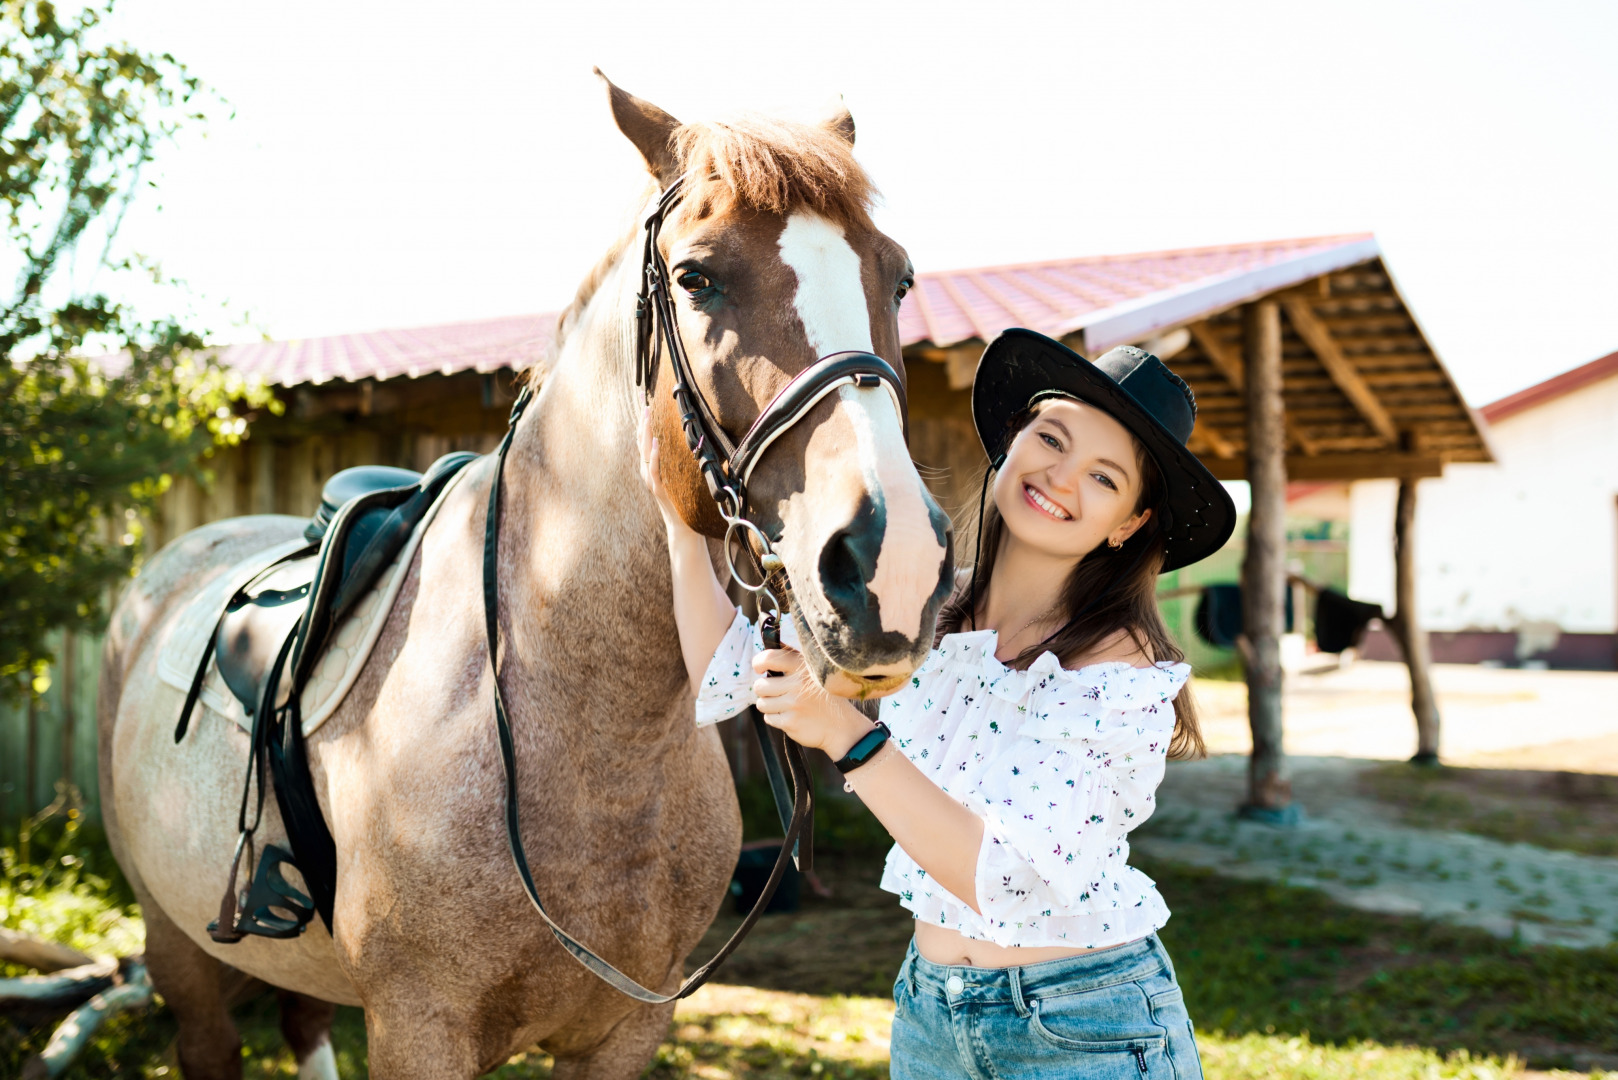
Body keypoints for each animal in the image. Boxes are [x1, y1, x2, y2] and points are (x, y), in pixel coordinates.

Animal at [94, 71, 951, 1075]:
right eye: (696, 278)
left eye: (897, 276)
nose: (894, 564)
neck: (586, 736)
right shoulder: (420, 1029)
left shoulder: (624, 1031)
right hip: (177, 947)